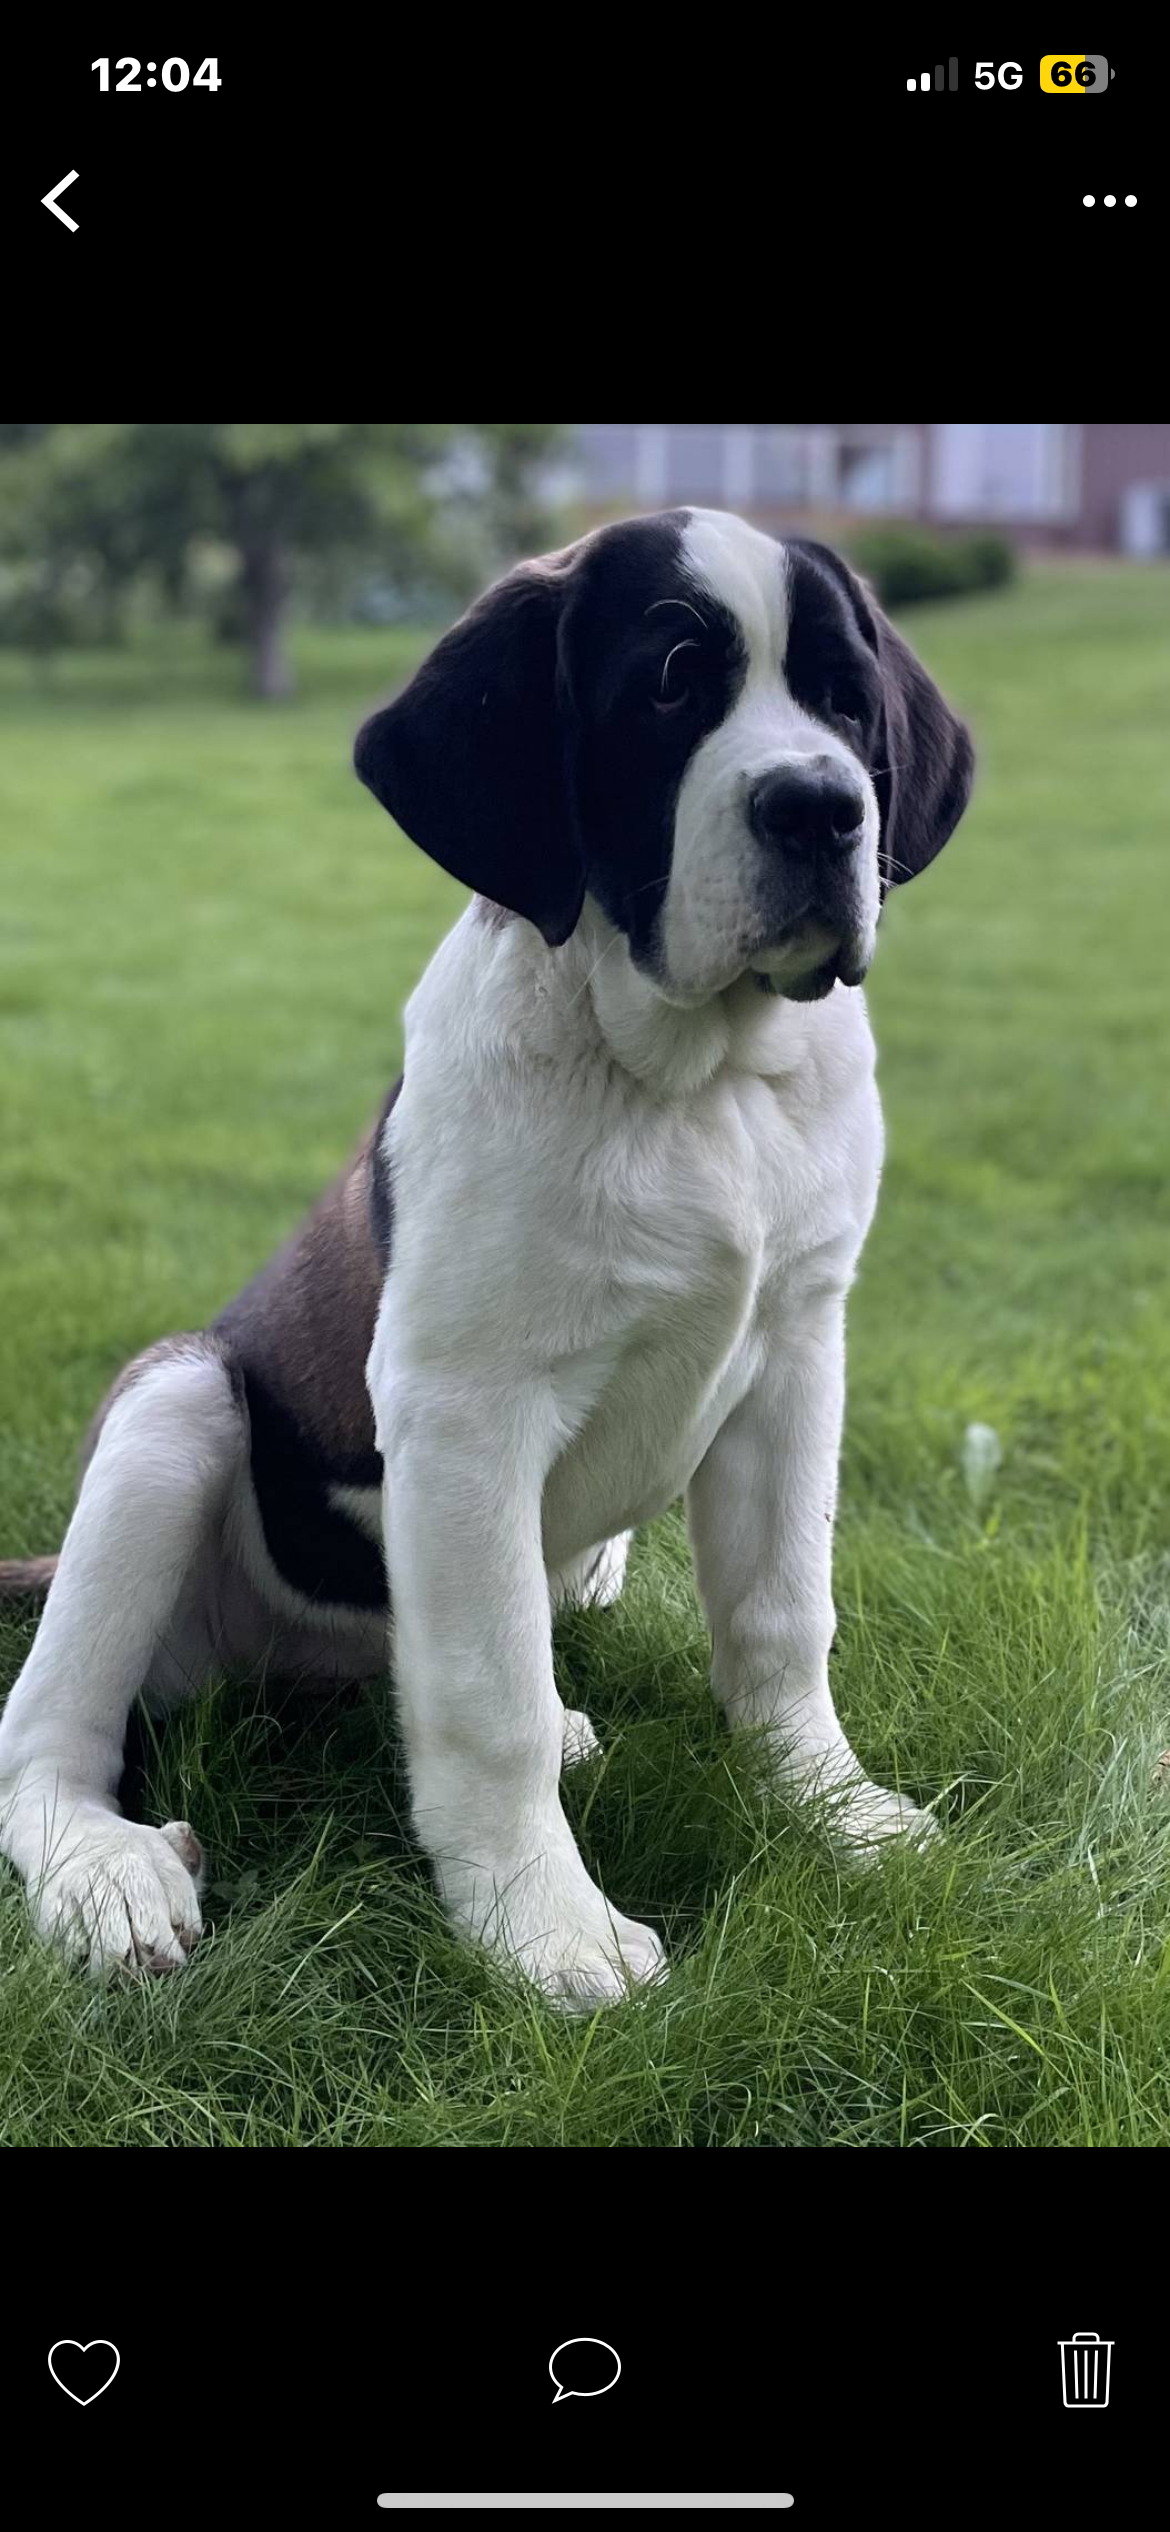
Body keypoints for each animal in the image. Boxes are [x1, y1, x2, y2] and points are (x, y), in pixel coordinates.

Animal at [0, 508, 973, 2003]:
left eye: (846, 703)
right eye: (669, 687)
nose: (820, 808)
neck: (696, 1083)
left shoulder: (800, 1357)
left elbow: (780, 1614)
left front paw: (835, 1814)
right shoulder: (466, 1411)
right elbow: (487, 1693)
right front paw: (544, 1927)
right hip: (178, 1404)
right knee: (46, 1729)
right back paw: (105, 1871)